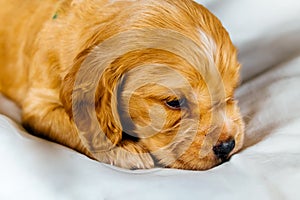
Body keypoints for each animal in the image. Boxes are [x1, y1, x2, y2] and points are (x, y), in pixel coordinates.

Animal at [0, 0, 244, 170]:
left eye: (231, 91)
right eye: (173, 102)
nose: (227, 146)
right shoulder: (39, 103)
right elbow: (79, 126)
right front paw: (126, 150)